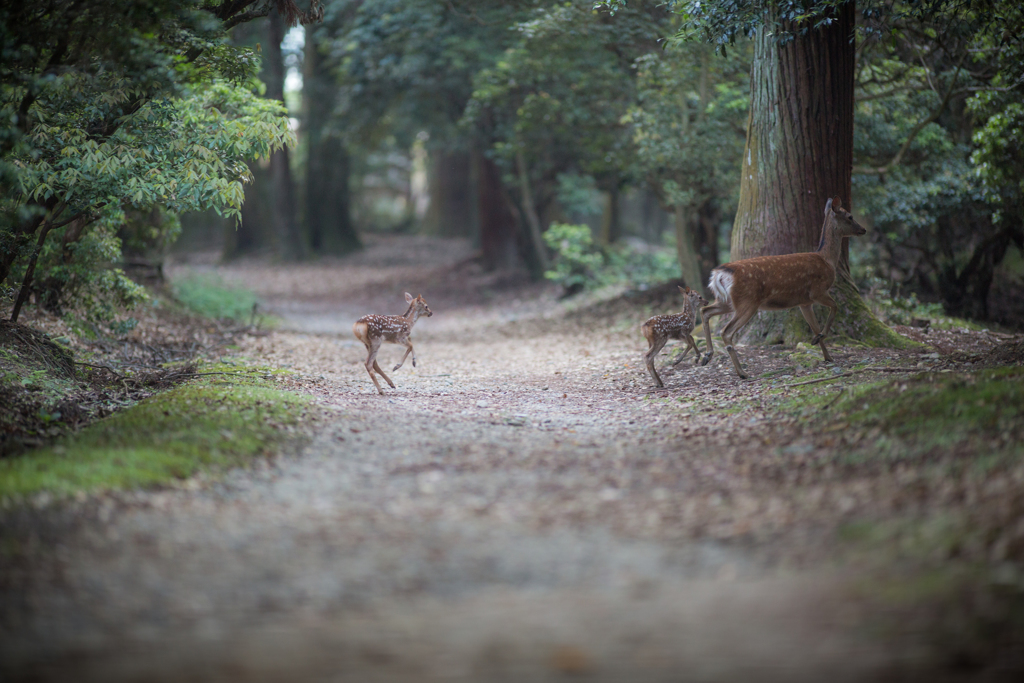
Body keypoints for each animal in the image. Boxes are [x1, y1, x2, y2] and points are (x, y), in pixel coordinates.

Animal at [696, 196, 864, 378]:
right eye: (850, 216)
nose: (863, 230)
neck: (827, 260)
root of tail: (719, 274)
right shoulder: (817, 291)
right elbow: (835, 307)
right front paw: (821, 340)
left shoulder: (804, 302)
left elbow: (814, 327)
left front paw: (826, 353)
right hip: (747, 301)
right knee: (725, 331)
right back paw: (742, 372)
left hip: (726, 300)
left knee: (705, 311)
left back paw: (707, 355)